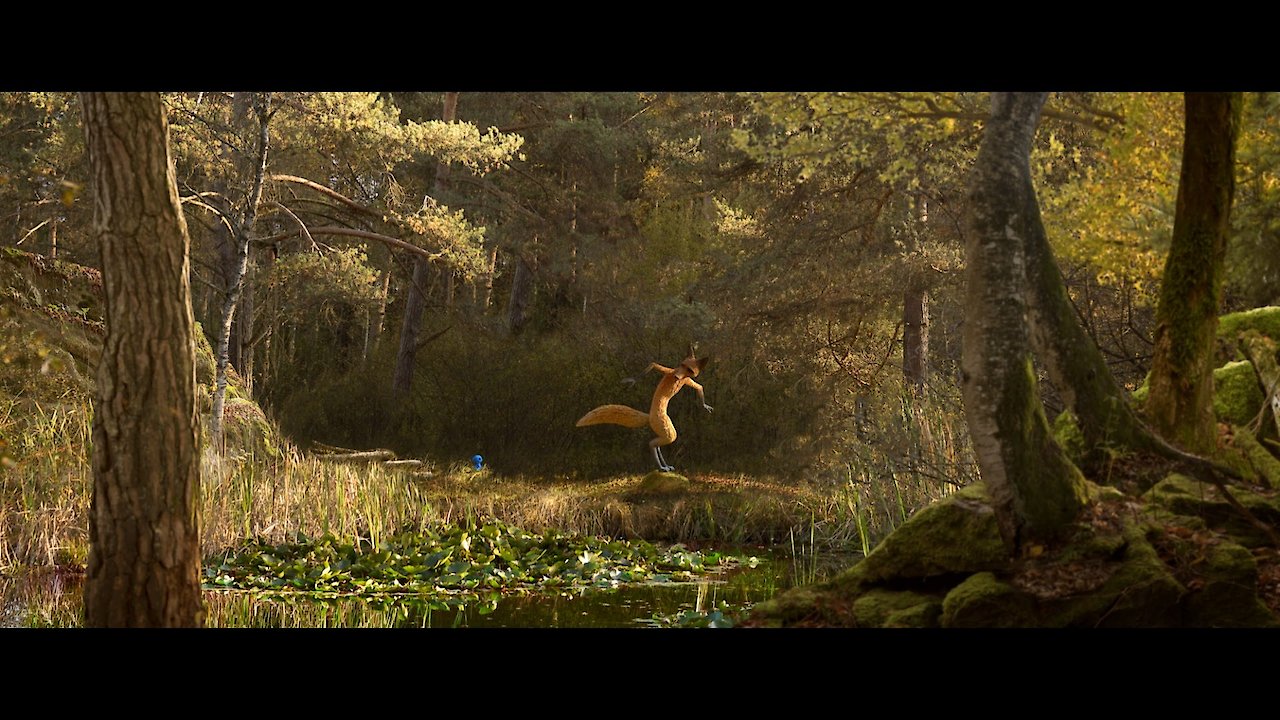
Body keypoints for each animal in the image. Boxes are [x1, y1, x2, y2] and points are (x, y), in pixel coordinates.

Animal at [576, 346, 713, 472]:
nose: (676, 376)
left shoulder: (686, 379)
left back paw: (665, 466)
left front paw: (705, 406)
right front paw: (632, 380)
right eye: (682, 364)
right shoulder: (670, 371)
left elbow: (699, 387)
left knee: (657, 444)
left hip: (665, 429)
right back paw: (661, 467)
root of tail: (649, 417)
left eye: (689, 369)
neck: (679, 378)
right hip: (669, 432)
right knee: (653, 443)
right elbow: (653, 364)